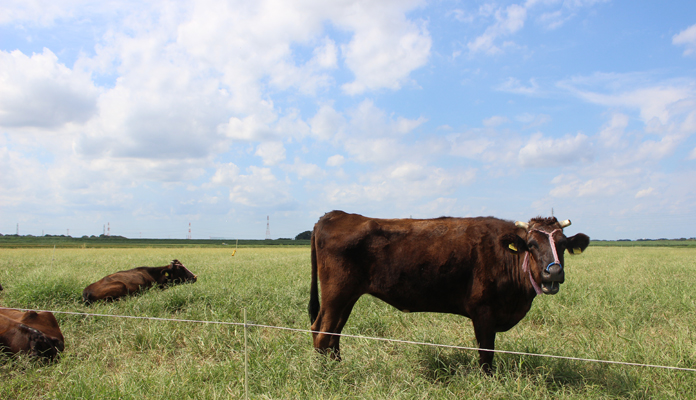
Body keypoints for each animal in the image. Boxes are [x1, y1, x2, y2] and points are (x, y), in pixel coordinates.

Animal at [308, 211, 588, 374]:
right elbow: (486, 353)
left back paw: (338, 367)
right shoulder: (483, 311)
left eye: (562, 244)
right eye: (531, 245)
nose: (553, 273)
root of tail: (335, 215)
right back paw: (328, 376)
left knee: (331, 333)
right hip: (337, 293)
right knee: (323, 334)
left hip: (348, 296)